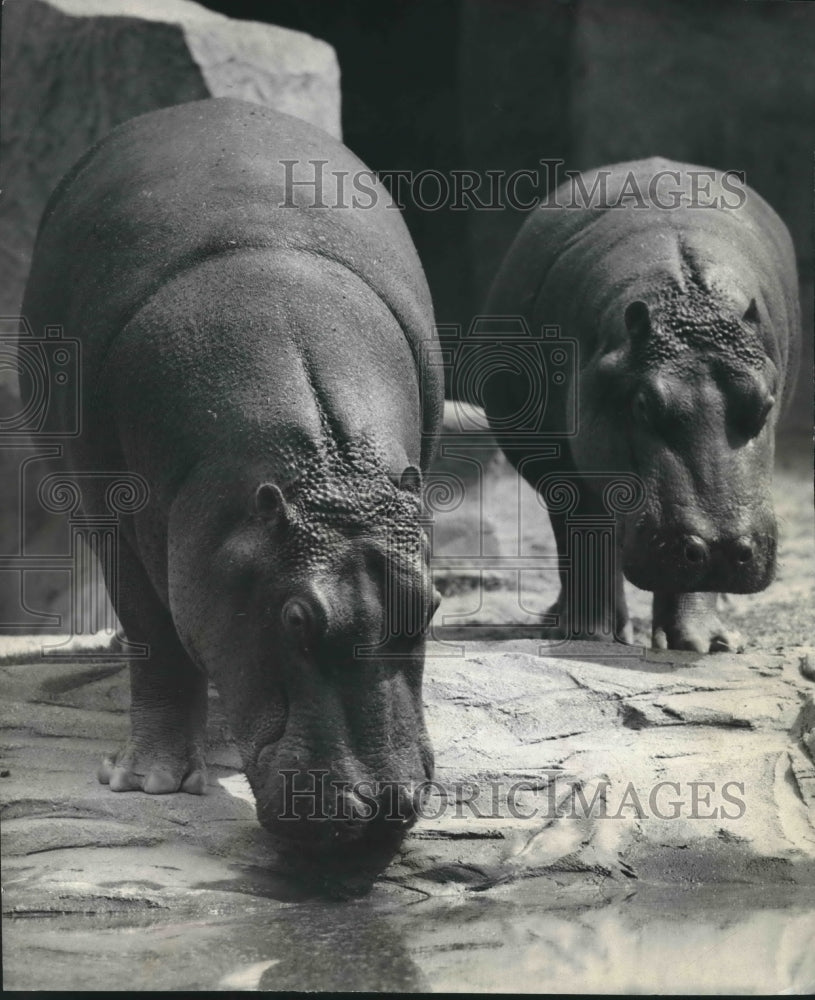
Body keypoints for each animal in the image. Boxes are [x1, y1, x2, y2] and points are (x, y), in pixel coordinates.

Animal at [22, 97, 446, 868]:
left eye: (429, 604)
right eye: (295, 619)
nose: (377, 807)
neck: (327, 470)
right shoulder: (110, 517)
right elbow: (155, 635)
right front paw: (149, 783)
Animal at [474, 160, 800, 652]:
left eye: (764, 404)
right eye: (643, 405)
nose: (721, 548)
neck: (688, 300)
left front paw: (704, 643)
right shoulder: (571, 466)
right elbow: (586, 537)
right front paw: (589, 635)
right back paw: (575, 623)